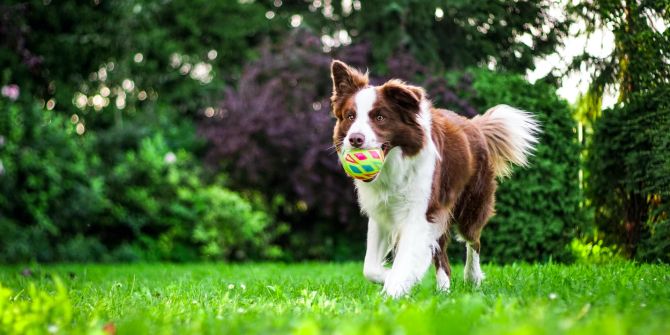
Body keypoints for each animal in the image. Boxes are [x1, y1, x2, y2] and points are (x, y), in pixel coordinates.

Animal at [330, 60, 540, 300]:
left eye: (380, 117)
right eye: (350, 116)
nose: (355, 139)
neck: (395, 165)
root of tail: (475, 125)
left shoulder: (420, 212)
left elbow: (405, 259)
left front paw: (394, 289)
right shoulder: (382, 213)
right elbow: (370, 268)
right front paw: (396, 278)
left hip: (470, 205)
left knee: (473, 240)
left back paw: (472, 277)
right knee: (442, 256)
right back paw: (444, 290)